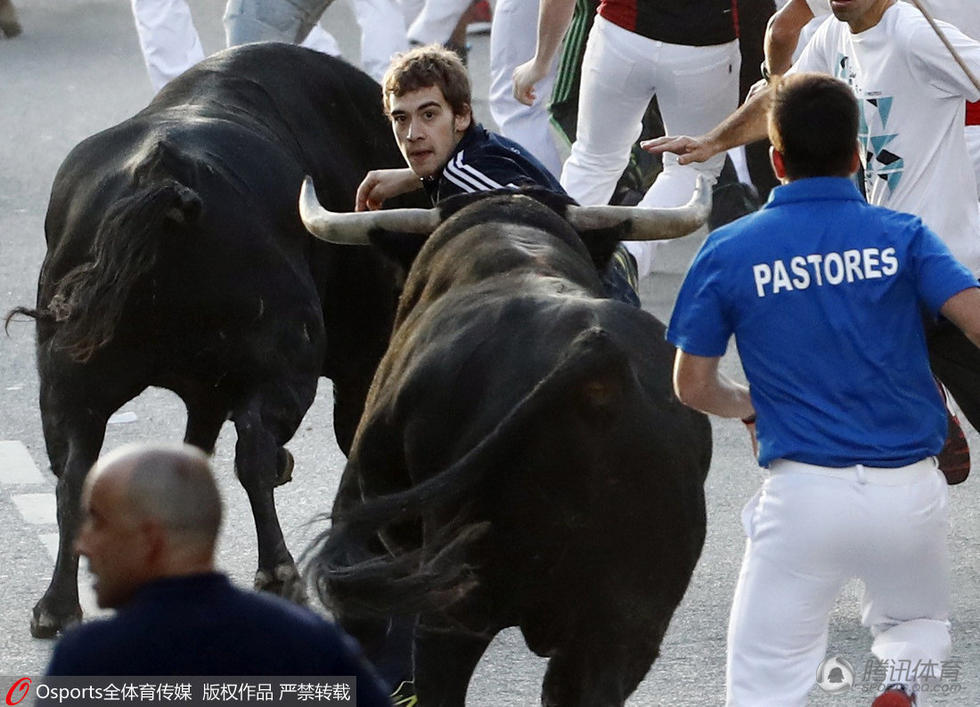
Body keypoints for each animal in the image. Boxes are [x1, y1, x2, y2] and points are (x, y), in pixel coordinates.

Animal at [7, 45, 428, 640]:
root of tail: (163, 178)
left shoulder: (203, 390)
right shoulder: (359, 360)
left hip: (69, 384)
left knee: (74, 474)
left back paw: (56, 607)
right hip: (286, 358)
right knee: (252, 450)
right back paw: (279, 571)